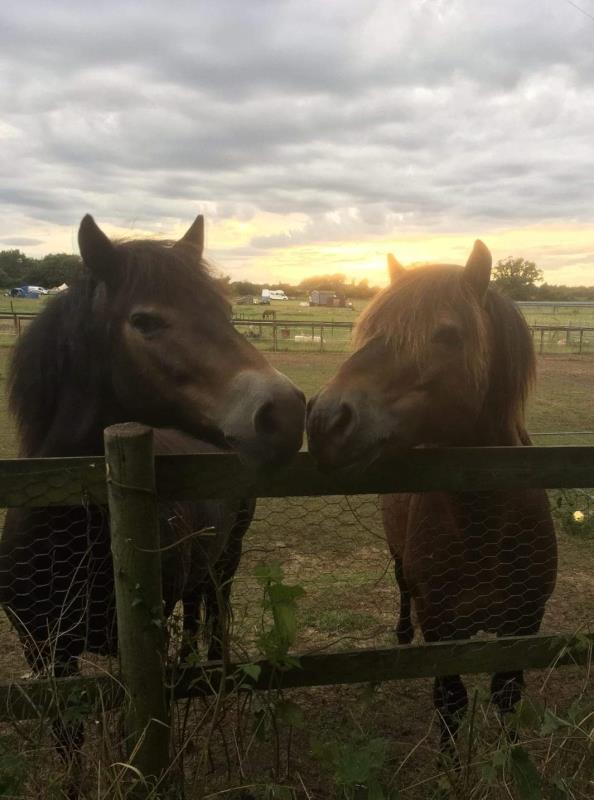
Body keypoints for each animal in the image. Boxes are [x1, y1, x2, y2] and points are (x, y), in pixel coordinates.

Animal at [0, 213, 305, 778]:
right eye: (145, 321)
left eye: (225, 312)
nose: (286, 412)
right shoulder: (45, 652)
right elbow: (69, 742)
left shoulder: (142, 647)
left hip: (227, 560)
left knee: (215, 616)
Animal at [306, 241, 557, 757]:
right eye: (370, 328)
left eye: (447, 334)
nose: (324, 420)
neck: (486, 526)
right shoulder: (443, 627)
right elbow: (450, 700)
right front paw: (450, 767)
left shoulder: (526, 622)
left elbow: (507, 695)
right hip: (401, 562)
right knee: (402, 591)